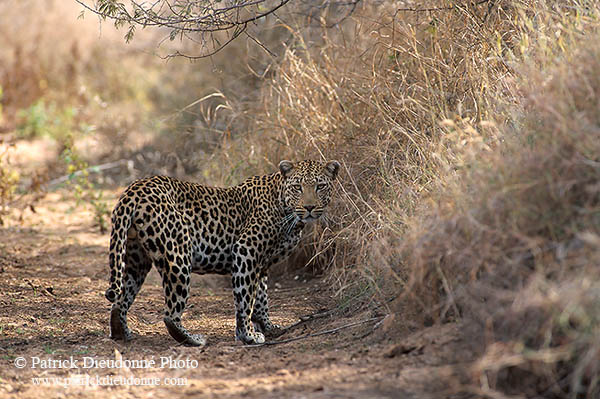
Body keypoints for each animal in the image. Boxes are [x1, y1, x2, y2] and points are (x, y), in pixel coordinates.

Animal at [103, 159, 338, 346]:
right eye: (298, 187)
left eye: (320, 186)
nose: (309, 207)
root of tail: (134, 189)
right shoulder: (246, 250)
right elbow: (246, 298)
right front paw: (248, 335)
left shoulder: (262, 264)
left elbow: (261, 297)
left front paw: (268, 326)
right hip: (178, 253)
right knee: (170, 314)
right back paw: (193, 339)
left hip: (136, 258)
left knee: (120, 300)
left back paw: (121, 333)